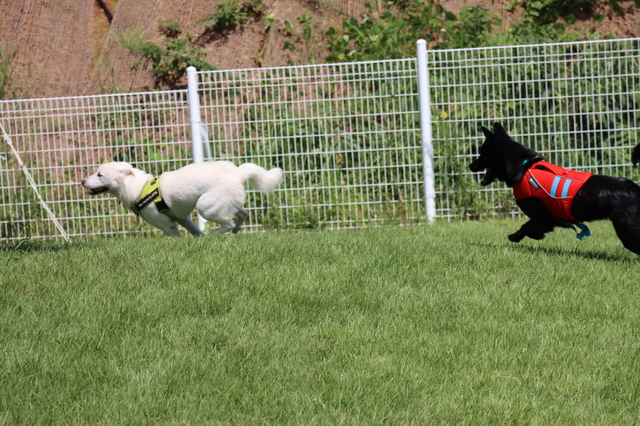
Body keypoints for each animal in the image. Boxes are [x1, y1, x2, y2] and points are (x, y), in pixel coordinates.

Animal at [81, 162, 282, 238]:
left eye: (99, 175)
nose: (82, 181)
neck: (140, 188)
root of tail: (238, 174)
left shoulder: (167, 225)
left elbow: (176, 237)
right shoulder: (182, 219)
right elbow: (195, 232)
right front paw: (199, 239)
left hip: (205, 207)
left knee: (228, 223)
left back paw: (214, 235)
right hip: (226, 203)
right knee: (242, 213)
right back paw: (233, 230)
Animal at [468, 123, 640, 256]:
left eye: (482, 153)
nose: (470, 166)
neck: (523, 168)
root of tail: (636, 189)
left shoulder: (543, 218)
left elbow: (528, 226)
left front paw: (517, 236)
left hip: (628, 231)